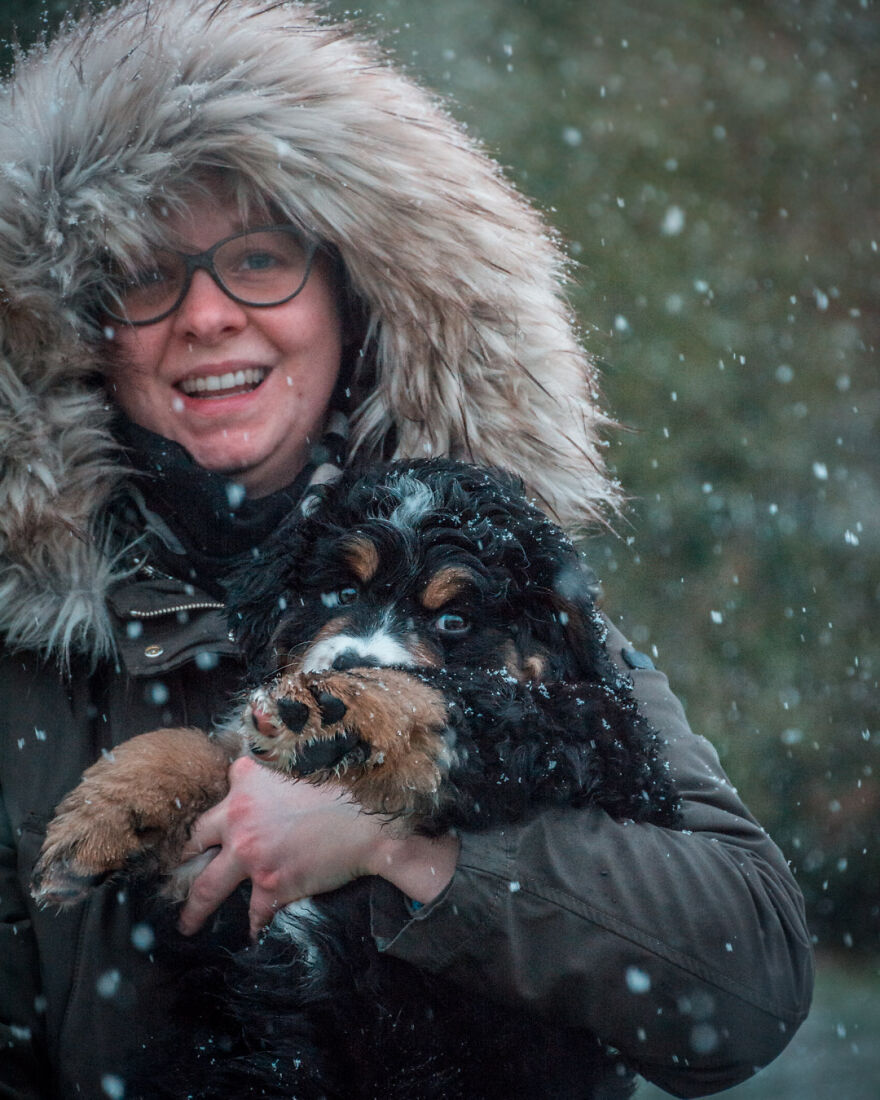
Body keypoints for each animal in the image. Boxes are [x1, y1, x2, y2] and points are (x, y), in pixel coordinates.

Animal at [32, 459, 679, 1099]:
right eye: (341, 592)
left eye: (454, 620)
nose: (348, 664)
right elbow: (208, 750)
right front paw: (103, 819)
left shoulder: (613, 749)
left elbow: (499, 708)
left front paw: (345, 709)